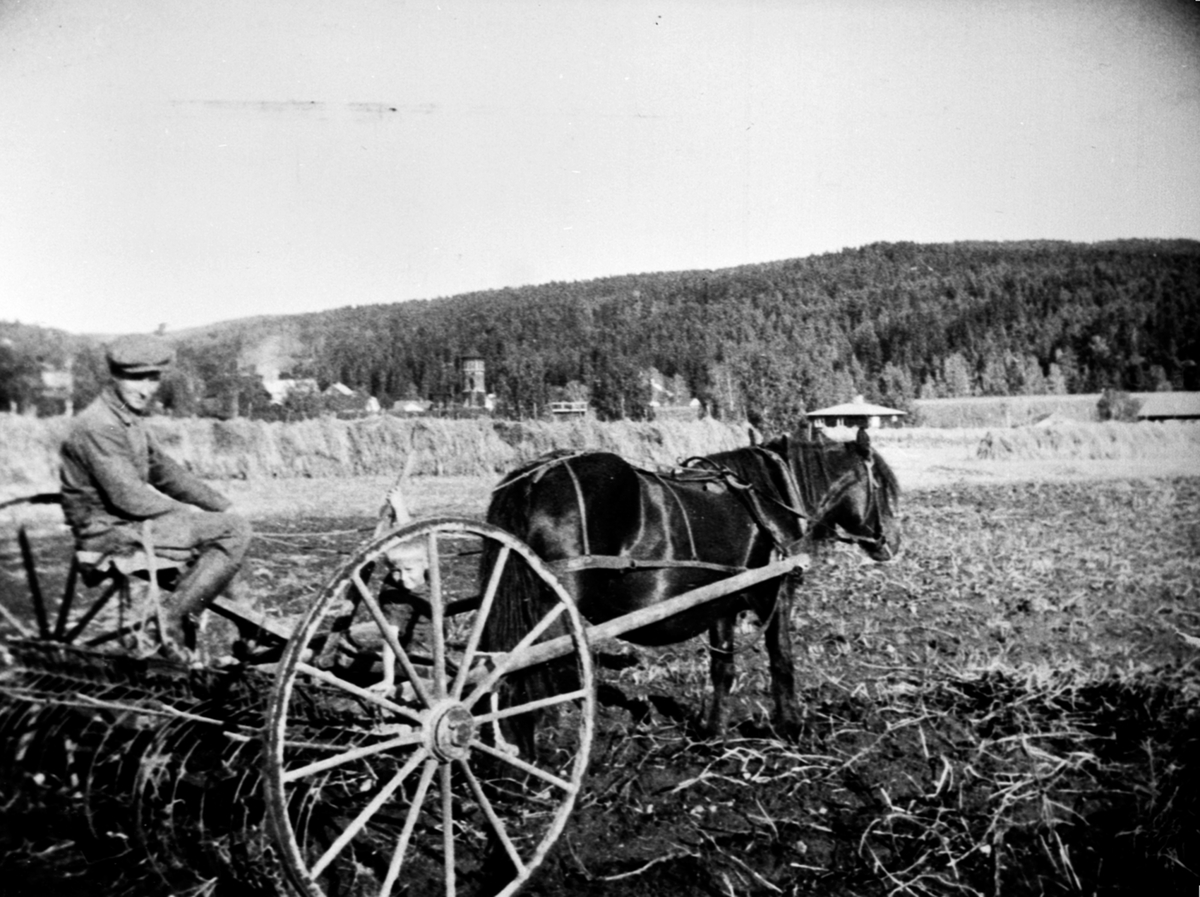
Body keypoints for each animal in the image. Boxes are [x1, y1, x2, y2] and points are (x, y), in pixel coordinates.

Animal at [477, 426, 902, 743]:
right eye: (881, 486)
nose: (892, 543)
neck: (772, 497)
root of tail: (532, 479)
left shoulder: (723, 601)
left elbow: (722, 667)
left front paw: (714, 731)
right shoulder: (775, 592)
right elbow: (782, 659)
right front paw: (793, 727)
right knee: (540, 674)